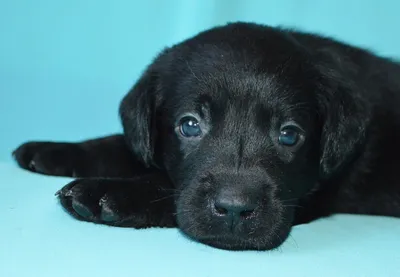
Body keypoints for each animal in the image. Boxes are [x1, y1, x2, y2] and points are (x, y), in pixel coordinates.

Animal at [11, 22, 400, 250]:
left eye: (289, 135)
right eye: (190, 125)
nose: (234, 210)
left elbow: (164, 187)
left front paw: (107, 193)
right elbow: (123, 145)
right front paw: (54, 151)